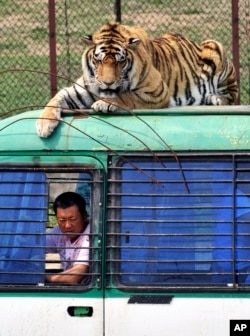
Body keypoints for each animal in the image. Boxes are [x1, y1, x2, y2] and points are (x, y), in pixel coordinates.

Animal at [36, 21, 238, 137]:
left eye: (120, 61)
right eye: (98, 60)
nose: (108, 82)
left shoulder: (156, 91)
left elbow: (127, 96)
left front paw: (104, 103)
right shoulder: (79, 90)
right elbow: (55, 98)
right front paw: (44, 125)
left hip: (215, 47)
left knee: (232, 95)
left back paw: (215, 99)